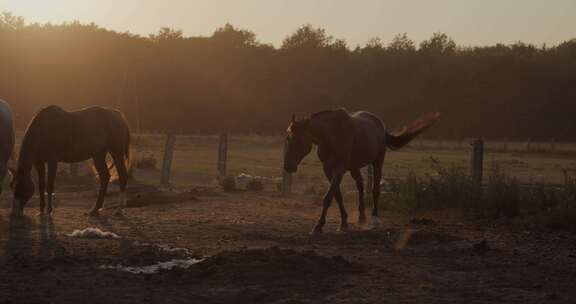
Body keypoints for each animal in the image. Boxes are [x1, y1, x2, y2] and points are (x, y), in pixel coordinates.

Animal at [284, 109, 440, 235]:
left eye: (297, 140)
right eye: (287, 138)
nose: (287, 166)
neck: (332, 135)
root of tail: (380, 124)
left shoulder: (339, 169)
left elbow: (328, 197)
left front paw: (318, 226)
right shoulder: (328, 169)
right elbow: (337, 196)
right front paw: (344, 223)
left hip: (377, 162)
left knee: (375, 189)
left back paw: (374, 217)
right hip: (354, 167)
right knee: (360, 186)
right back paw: (361, 217)